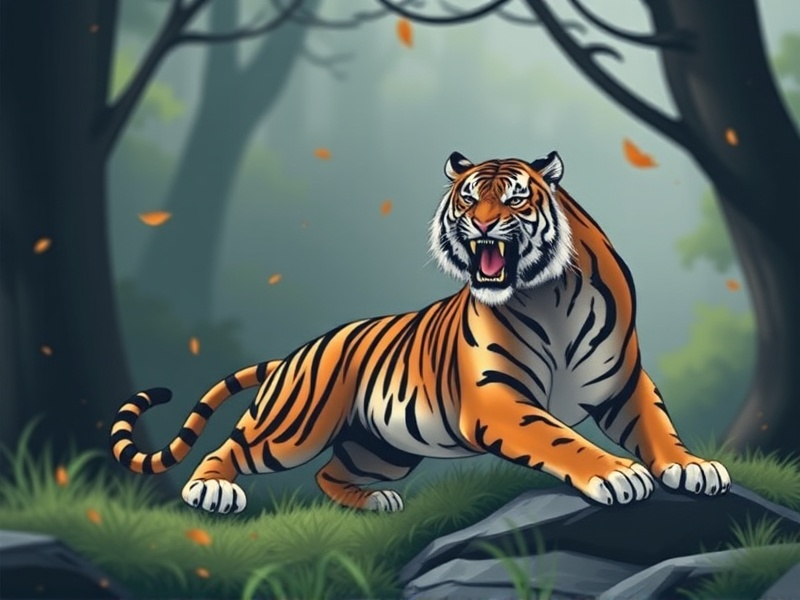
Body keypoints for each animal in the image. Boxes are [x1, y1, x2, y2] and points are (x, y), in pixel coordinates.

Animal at [110, 151, 731, 514]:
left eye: (515, 197)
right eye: (468, 196)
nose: (481, 224)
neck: (551, 294)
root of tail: (295, 352)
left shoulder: (624, 381)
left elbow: (658, 426)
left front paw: (693, 468)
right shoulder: (498, 400)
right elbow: (560, 438)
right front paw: (617, 474)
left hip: (382, 447)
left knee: (329, 475)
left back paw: (376, 502)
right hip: (294, 427)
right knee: (232, 446)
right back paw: (212, 489)